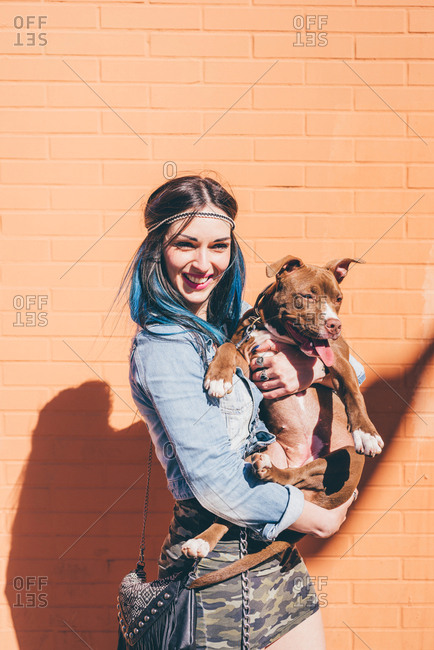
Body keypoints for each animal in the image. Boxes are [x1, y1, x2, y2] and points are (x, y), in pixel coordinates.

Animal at [183, 256, 384, 584]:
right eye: (306, 296)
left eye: (338, 299)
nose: (335, 325)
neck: (276, 332)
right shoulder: (246, 354)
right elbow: (227, 347)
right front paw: (218, 376)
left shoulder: (339, 357)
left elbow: (354, 393)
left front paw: (367, 433)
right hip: (264, 449)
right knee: (240, 506)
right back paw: (201, 541)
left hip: (343, 459)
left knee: (294, 476)